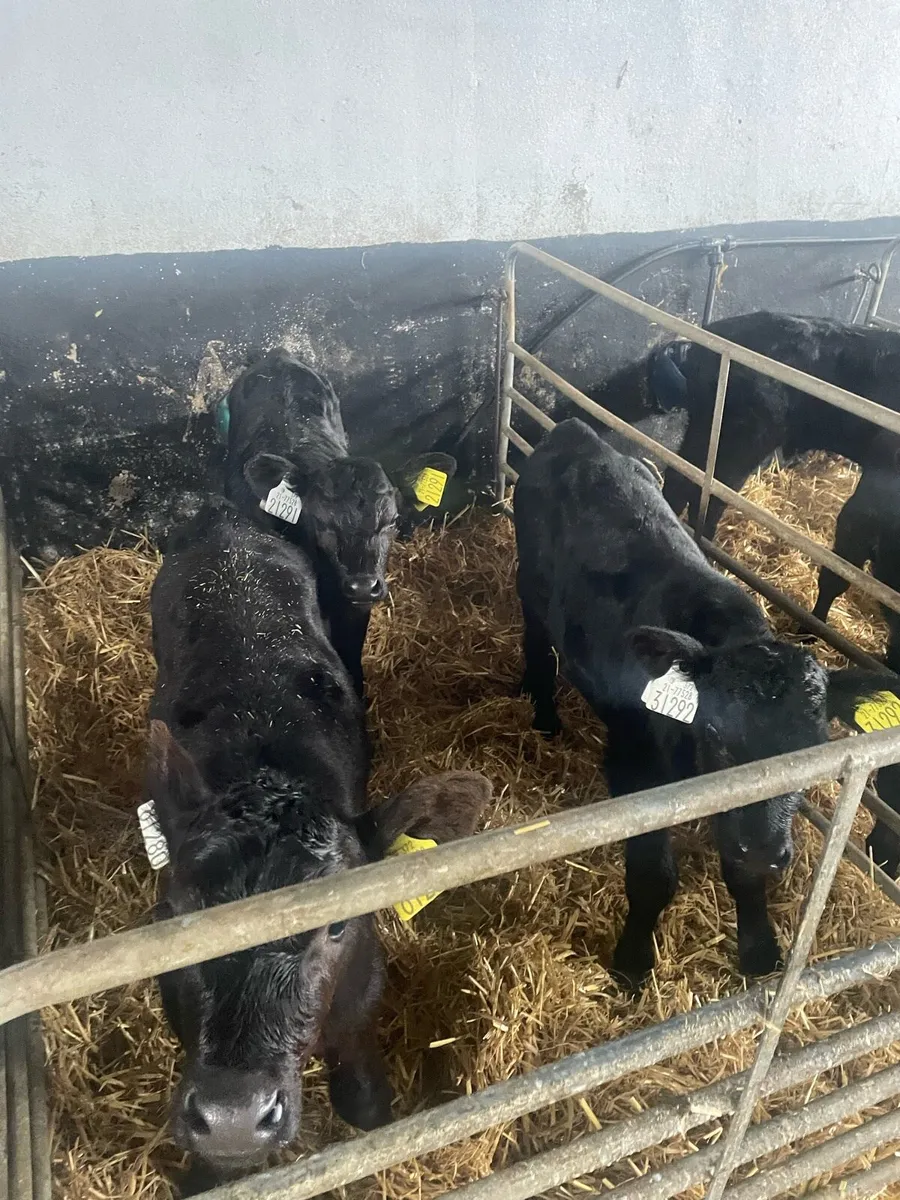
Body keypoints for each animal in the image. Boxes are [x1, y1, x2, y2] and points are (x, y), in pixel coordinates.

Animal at [513, 418, 889, 991]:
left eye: (814, 745)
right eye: (714, 733)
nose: (767, 850)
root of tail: (577, 430)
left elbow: (742, 872)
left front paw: (759, 951)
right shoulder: (633, 764)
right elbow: (653, 875)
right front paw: (632, 961)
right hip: (529, 592)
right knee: (537, 646)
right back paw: (545, 715)